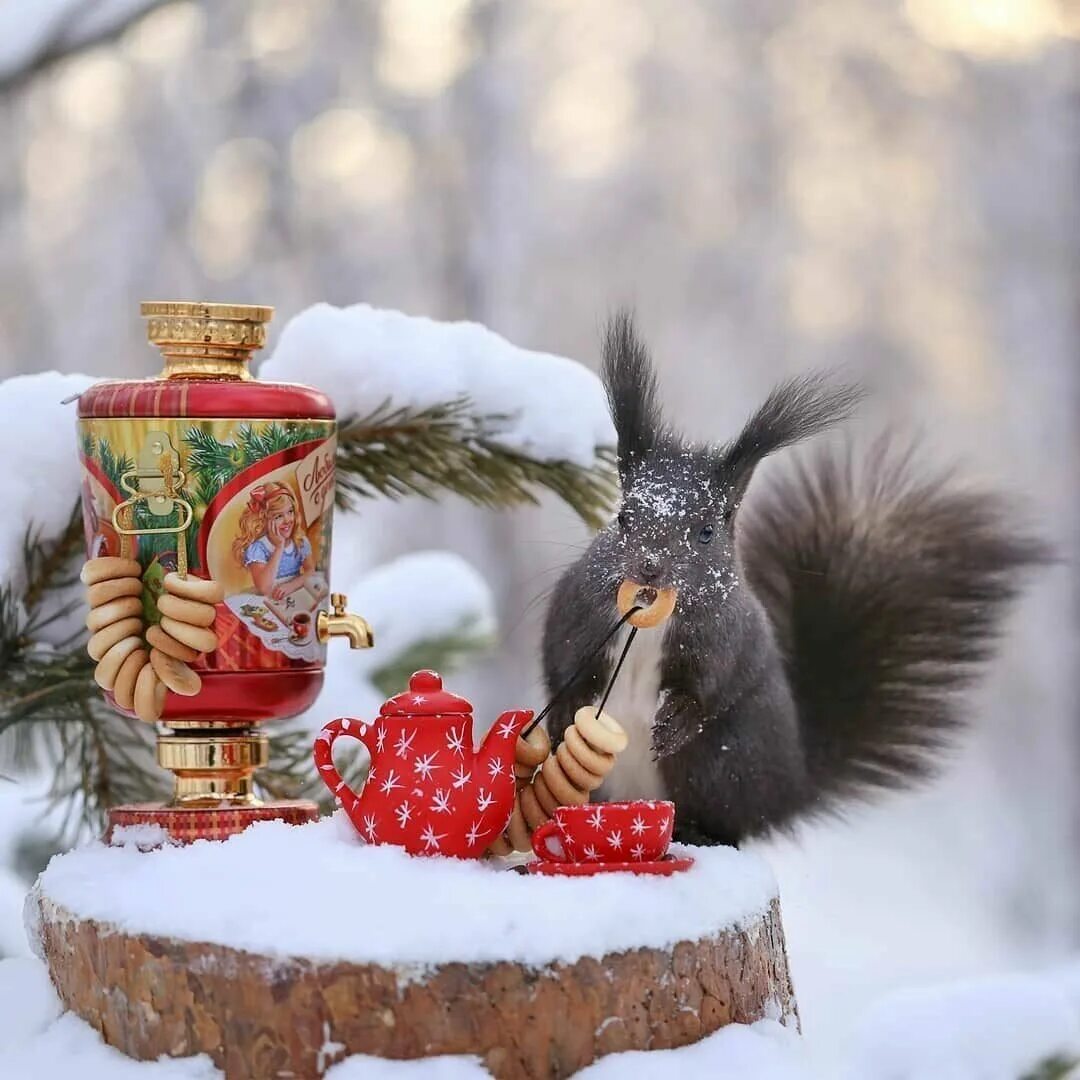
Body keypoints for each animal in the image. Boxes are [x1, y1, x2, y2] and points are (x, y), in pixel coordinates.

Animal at [540, 308, 1045, 846]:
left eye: (705, 531)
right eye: (622, 518)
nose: (649, 567)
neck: (651, 622)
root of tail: (793, 784)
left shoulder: (730, 638)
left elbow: (713, 691)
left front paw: (677, 719)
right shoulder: (578, 612)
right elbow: (560, 666)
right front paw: (570, 709)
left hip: (725, 765)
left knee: (732, 822)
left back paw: (700, 832)